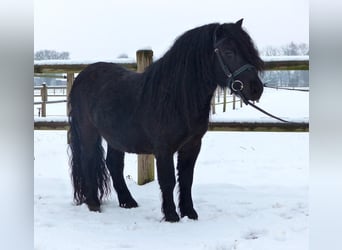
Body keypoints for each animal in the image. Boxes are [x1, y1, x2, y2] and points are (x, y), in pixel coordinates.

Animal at [67, 20, 264, 223]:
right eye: (228, 52)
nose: (256, 89)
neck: (176, 97)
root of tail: (82, 76)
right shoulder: (163, 148)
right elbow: (168, 180)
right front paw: (171, 216)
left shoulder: (192, 145)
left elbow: (186, 179)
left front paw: (189, 213)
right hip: (88, 131)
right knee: (88, 161)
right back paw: (93, 204)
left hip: (116, 137)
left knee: (113, 164)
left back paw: (128, 202)